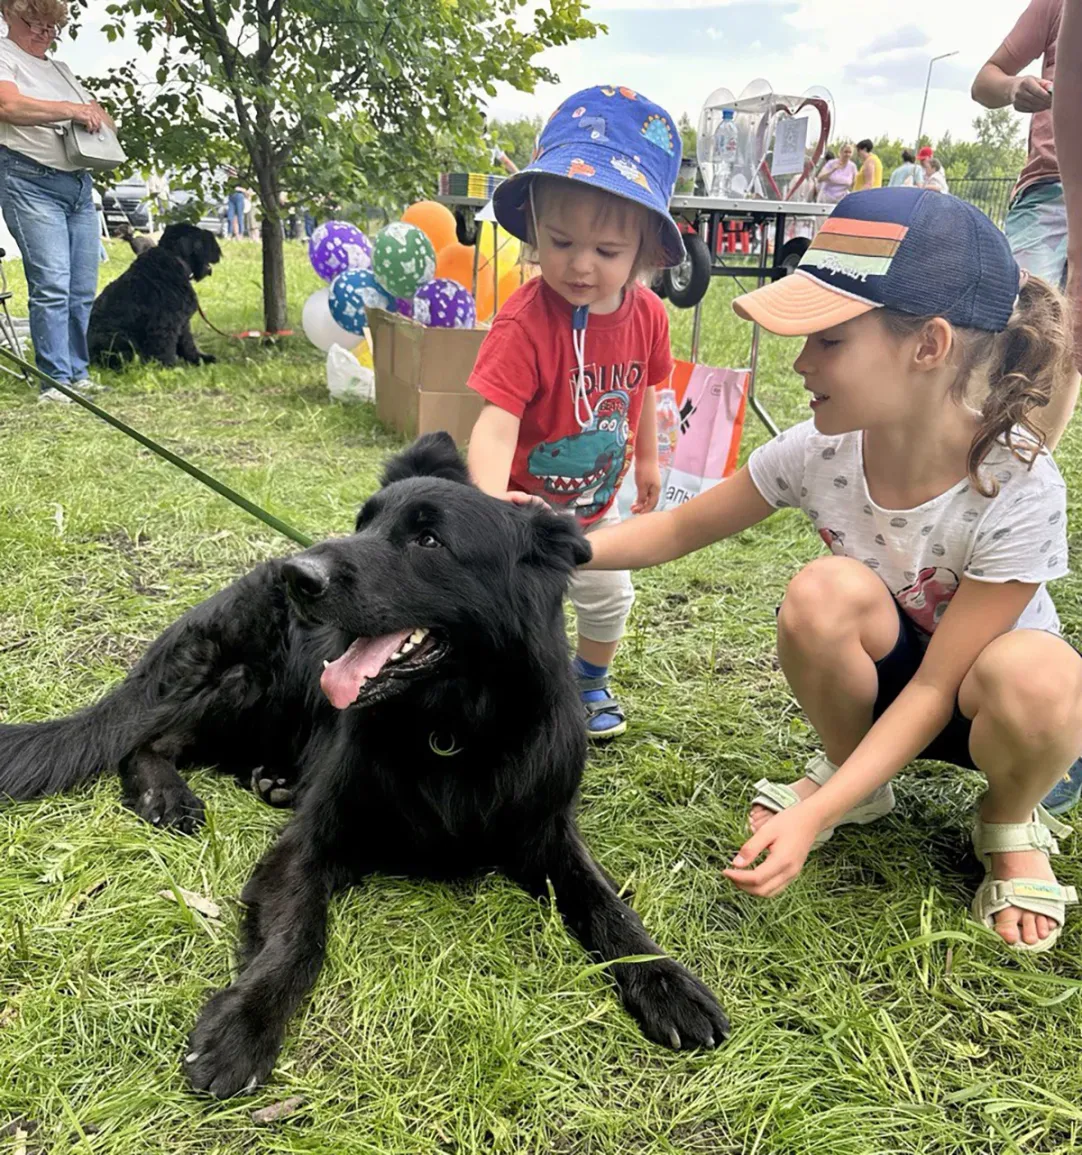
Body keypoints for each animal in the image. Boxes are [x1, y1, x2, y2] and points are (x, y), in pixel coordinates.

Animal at [0, 434, 729, 1099]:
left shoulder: (547, 833)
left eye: (429, 540)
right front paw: (245, 1024)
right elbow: (299, 936)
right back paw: (167, 795)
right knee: (152, 738)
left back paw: (273, 779)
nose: (300, 575)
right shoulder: (308, 846)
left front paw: (668, 980)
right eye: (363, 523)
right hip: (254, 685)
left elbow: (609, 906)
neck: (450, 729)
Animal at [88, 222, 224, 367]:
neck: (174, 260)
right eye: (202, 238)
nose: (218, 250)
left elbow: (188, 343)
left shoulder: (182, 322)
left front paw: (199, 359)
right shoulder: (165, 323)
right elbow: (164, 348)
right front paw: (168, 366)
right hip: (119, 338)